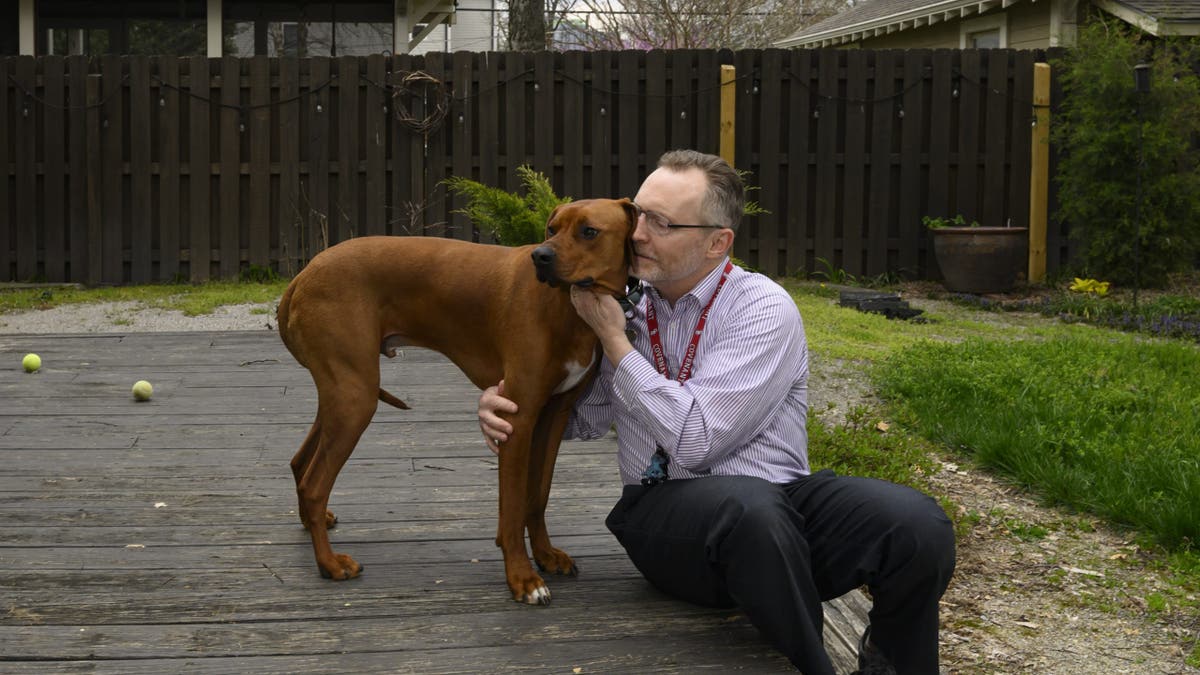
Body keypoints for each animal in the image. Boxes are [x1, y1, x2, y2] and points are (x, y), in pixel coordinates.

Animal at [278, 196, 638, 600]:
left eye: (589, 231)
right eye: (552, 228)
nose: (541, 256)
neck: (567, 307)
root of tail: (304, 273)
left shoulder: (554, 415)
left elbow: (538, 495)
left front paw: (545, 555)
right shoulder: (518, 416)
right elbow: (513, 505)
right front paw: (522, 577)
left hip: (343, 392)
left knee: (300, 462)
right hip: (355, 397)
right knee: (314, 484)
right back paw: (329, 563)